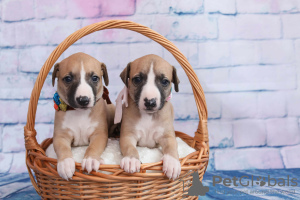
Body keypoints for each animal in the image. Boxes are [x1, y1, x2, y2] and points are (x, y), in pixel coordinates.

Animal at [51, 52, 115, 180]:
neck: (79, 113)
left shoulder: (99, 134)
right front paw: (65, 164)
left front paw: (91, 160)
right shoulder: (60, 136)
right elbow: (62, 148)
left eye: (95, 78)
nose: (83, 100)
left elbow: (93, 146)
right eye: (68, 78)